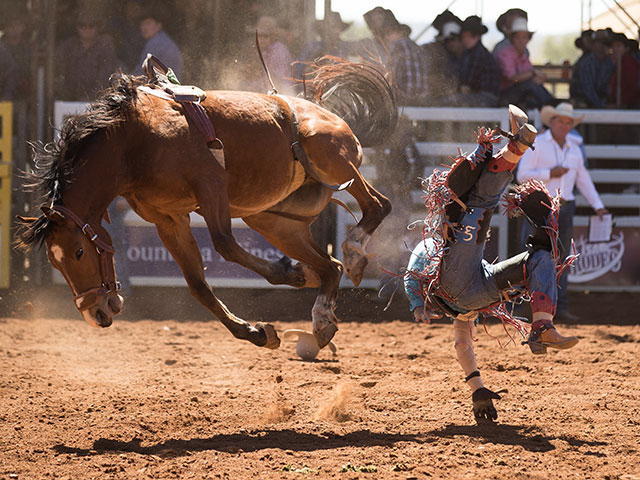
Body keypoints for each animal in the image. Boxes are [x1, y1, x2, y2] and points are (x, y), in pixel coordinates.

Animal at [16, 60, 396, 350]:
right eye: (54, 261)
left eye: (79, 252)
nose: (95, 314)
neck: (134, 144)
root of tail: (332, 115)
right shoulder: (168, 219)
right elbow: (198, 285)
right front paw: (257, 332)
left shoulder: (211, 184)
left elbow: (225, 244)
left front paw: (291, 273)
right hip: (273, 221)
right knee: (330, 266)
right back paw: (321, 318)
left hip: (328, 154)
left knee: (378, 206)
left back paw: (353, 253)